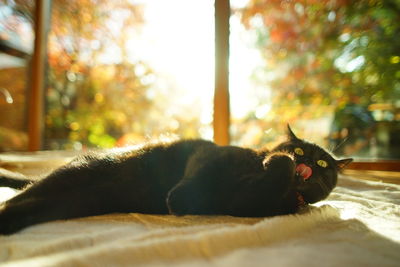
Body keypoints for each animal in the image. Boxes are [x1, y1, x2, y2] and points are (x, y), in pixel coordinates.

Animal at [0, 125, 350, 234]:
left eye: (322, 163)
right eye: (298, 149)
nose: (306, 162)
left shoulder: (248, 203)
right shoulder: (207, 157)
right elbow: (197, 178)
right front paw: (177, 201)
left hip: (65, 203)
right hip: (73, 177)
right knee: (18, 196)